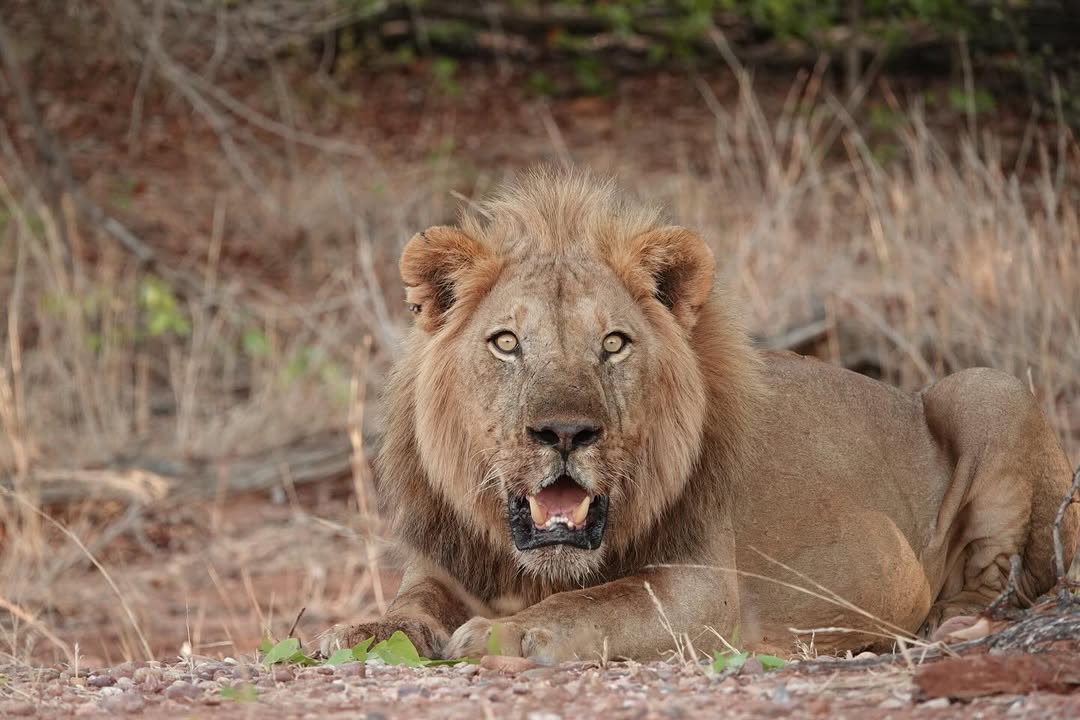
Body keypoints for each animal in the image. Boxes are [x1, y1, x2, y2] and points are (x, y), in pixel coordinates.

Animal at [315, 169, 1080, 664]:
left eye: (613, 344)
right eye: (506, 343)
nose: (564, 433)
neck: (533, 568)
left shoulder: (701, 586)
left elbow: (599, 603)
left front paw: (507, 634)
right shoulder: (440, 571)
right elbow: (406, 610)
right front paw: (352, 633)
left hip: (988, 388)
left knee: (1002, 578)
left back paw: (950, 624)